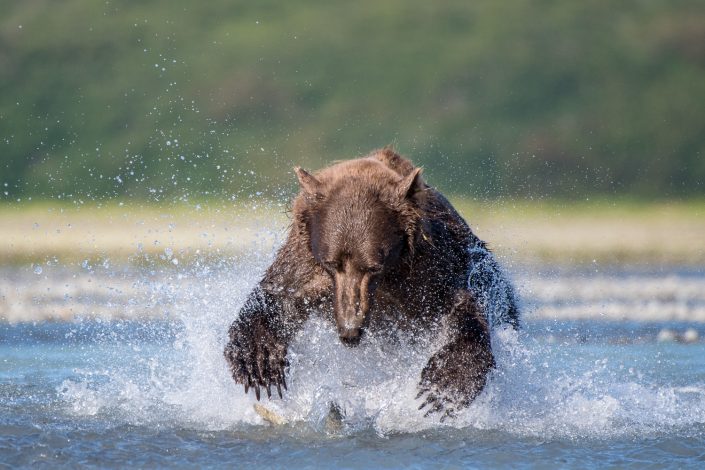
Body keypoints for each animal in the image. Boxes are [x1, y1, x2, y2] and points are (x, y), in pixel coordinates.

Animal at [223, 148, 520, 418]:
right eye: (332, 263)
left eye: (373, 266)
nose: (349, 330)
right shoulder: (305, 266)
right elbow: (276, 298)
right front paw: (258, 362)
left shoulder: (434, 267)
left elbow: (464, 305)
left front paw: (443, 385)